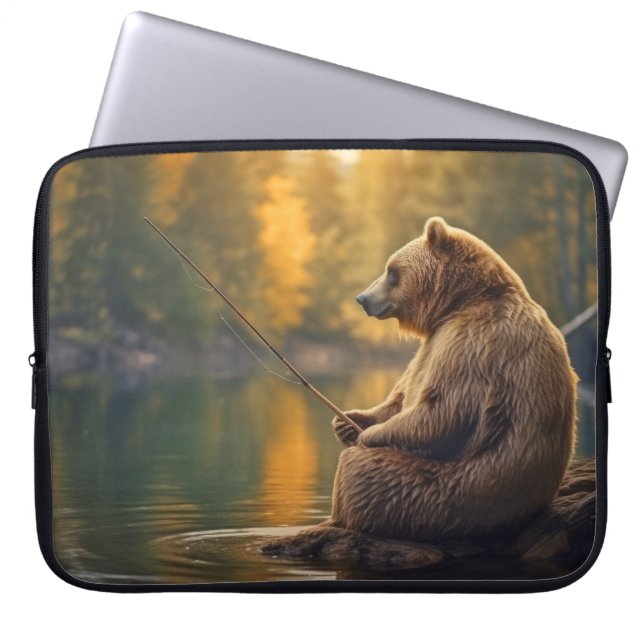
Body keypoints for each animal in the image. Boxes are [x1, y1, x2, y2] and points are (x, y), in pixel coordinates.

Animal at [262, 216, 578, 555]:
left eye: (391, 270)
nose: (362, 298)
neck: (460, 302)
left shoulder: (472, 342)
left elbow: (442, 412)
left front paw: (367, 435)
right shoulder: (433, 342)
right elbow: (402, 395)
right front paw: (350, 421)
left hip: (450, 493)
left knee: (361, 472)